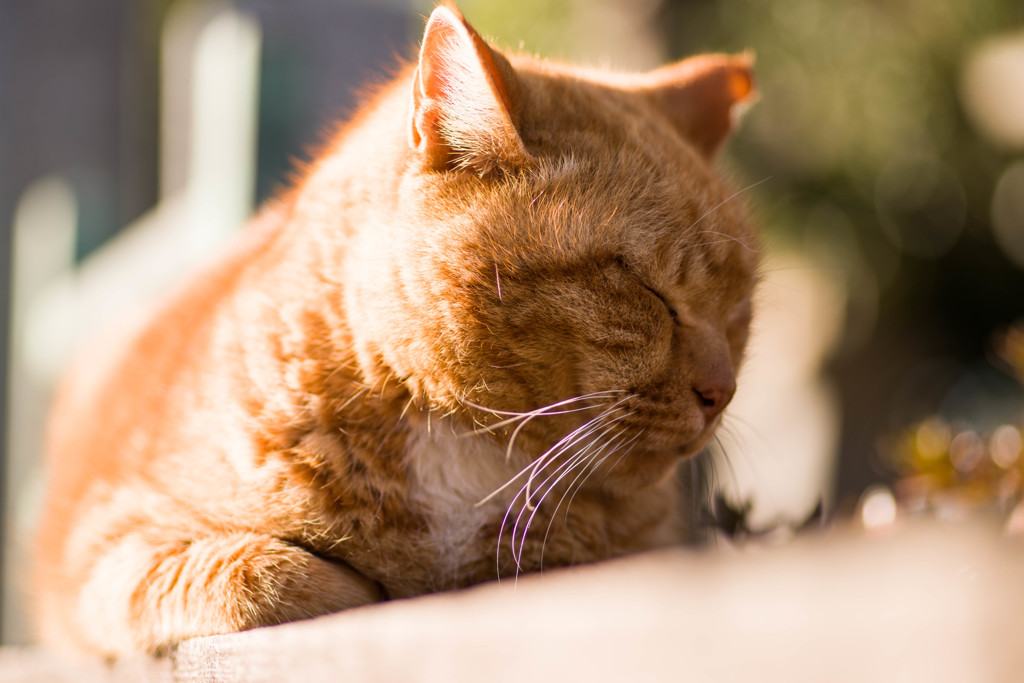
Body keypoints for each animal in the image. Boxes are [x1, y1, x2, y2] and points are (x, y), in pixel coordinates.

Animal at [32, 3, 757, 655]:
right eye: (643, 288)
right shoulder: (103, 545)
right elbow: (251, 572)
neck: (462, 451)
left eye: (739, 306)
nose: (721, 392)